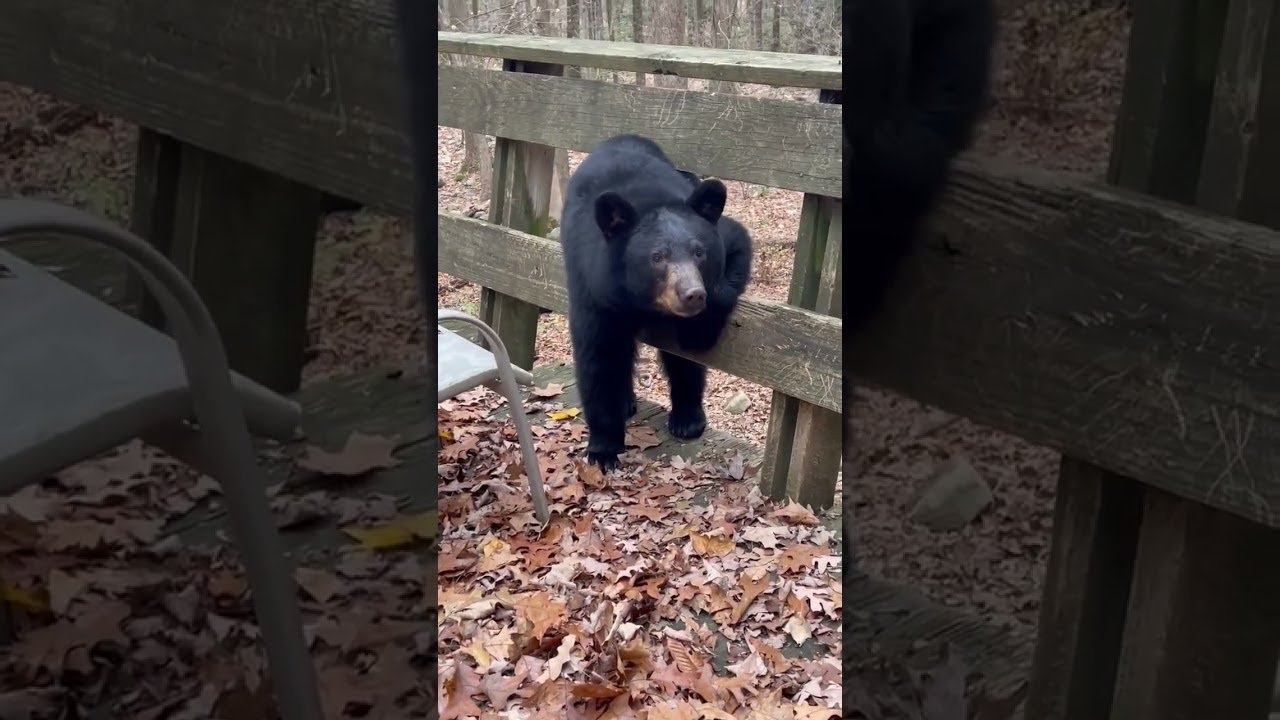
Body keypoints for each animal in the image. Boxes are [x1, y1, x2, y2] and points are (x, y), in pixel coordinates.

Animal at [560, 134, 753, 471]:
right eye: (657, 257)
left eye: (699, 252)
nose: (692, 294)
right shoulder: (592, 286)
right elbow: (599, 358)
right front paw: (603, 450)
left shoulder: (724, 238)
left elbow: (736, 245)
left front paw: (698, 334)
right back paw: (626, 402)